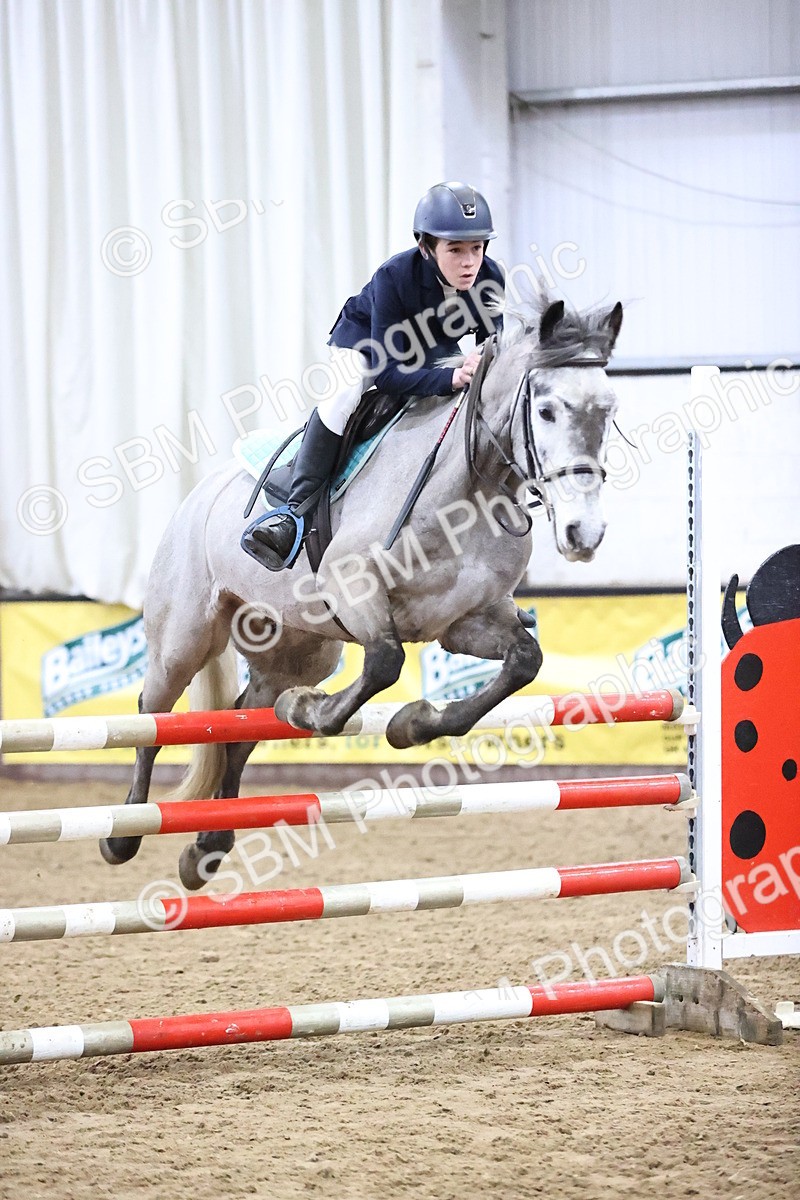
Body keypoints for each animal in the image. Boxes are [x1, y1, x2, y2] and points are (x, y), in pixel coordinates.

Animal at [100, 293, 623, 890]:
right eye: (548, 410)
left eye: (609, 410)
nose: (584, 533)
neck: (466, 487)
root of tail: (198, 496)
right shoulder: (355, 588)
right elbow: (384, 663)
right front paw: (313, 712)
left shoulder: (466, 621)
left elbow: (522, 662)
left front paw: (412, 723)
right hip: (184, 638)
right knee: (151, 715)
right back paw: (125, 833)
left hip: (297, 649)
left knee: (240, 724)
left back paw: (207, 848)